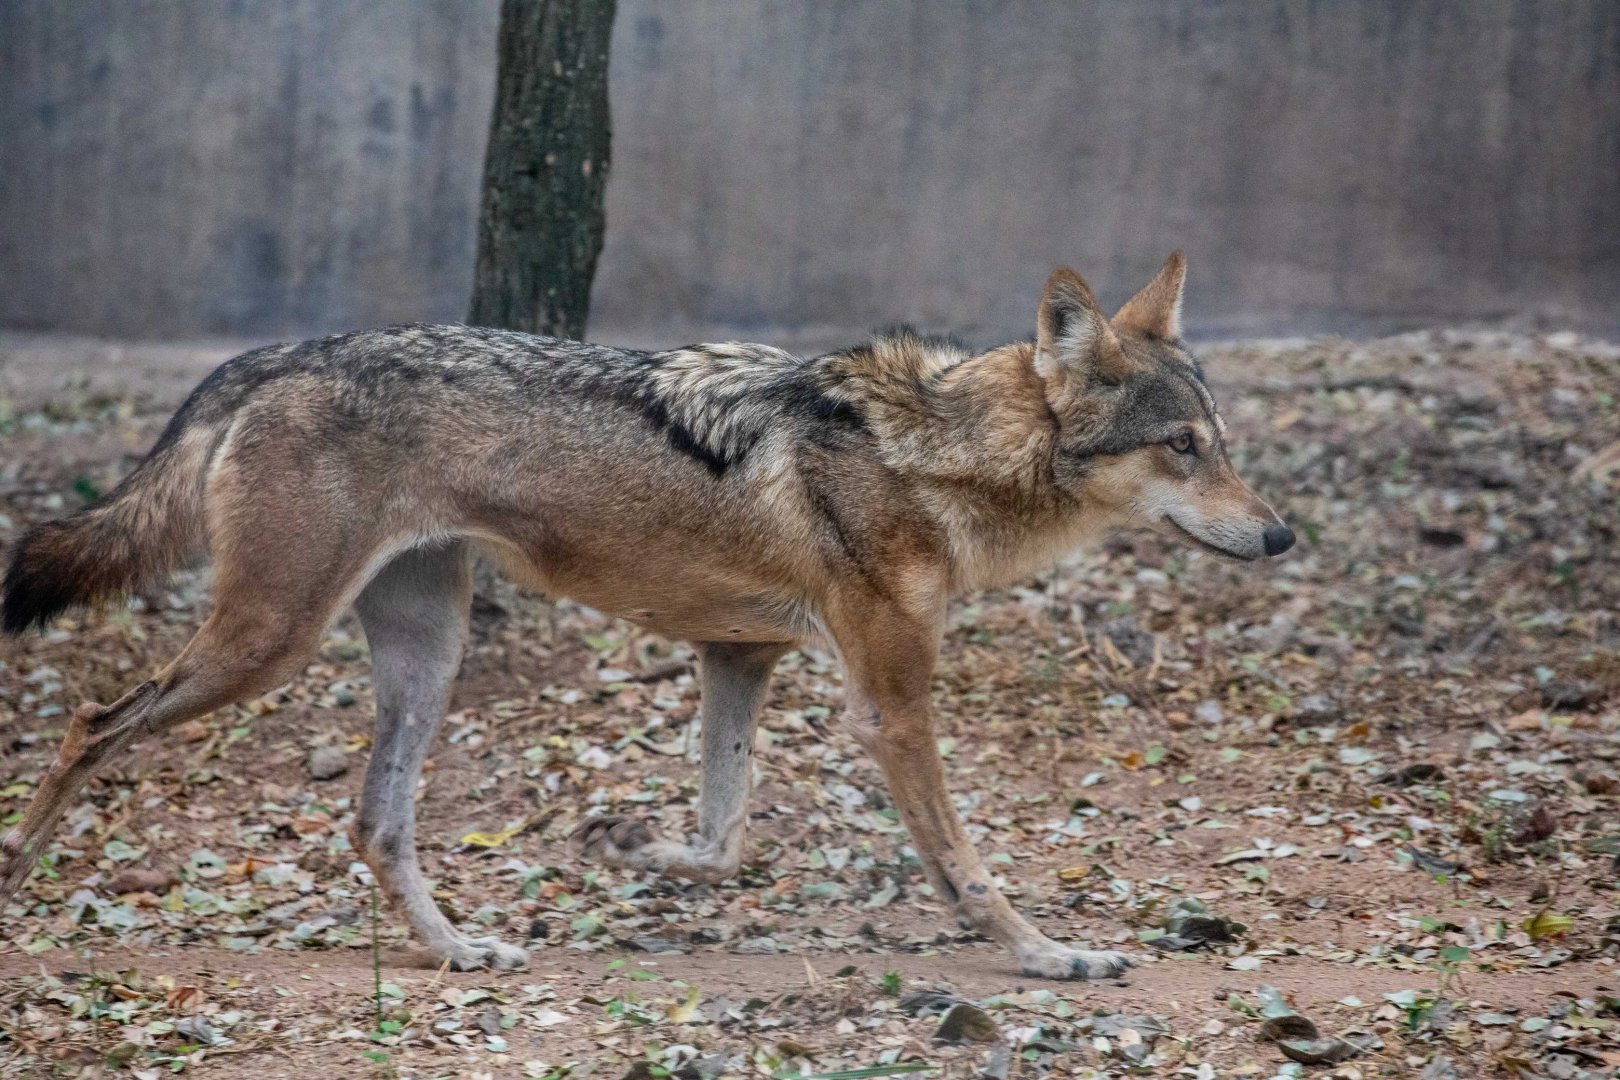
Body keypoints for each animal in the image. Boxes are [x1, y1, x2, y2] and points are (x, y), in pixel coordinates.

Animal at [1, 254, 1291, 979]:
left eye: (1222, 444)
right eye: (1183, 447)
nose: (1280, 536)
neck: (931, 455)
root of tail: (277, 354)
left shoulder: (740, 655)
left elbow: (723, 837)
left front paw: (627, 845)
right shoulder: (888, 702)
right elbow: (966, 866)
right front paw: (1049, 957)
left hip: (426, 654)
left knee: (374, 822)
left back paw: (458, 950)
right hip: (268, 645)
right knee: (89, 723)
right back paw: (17, 880)